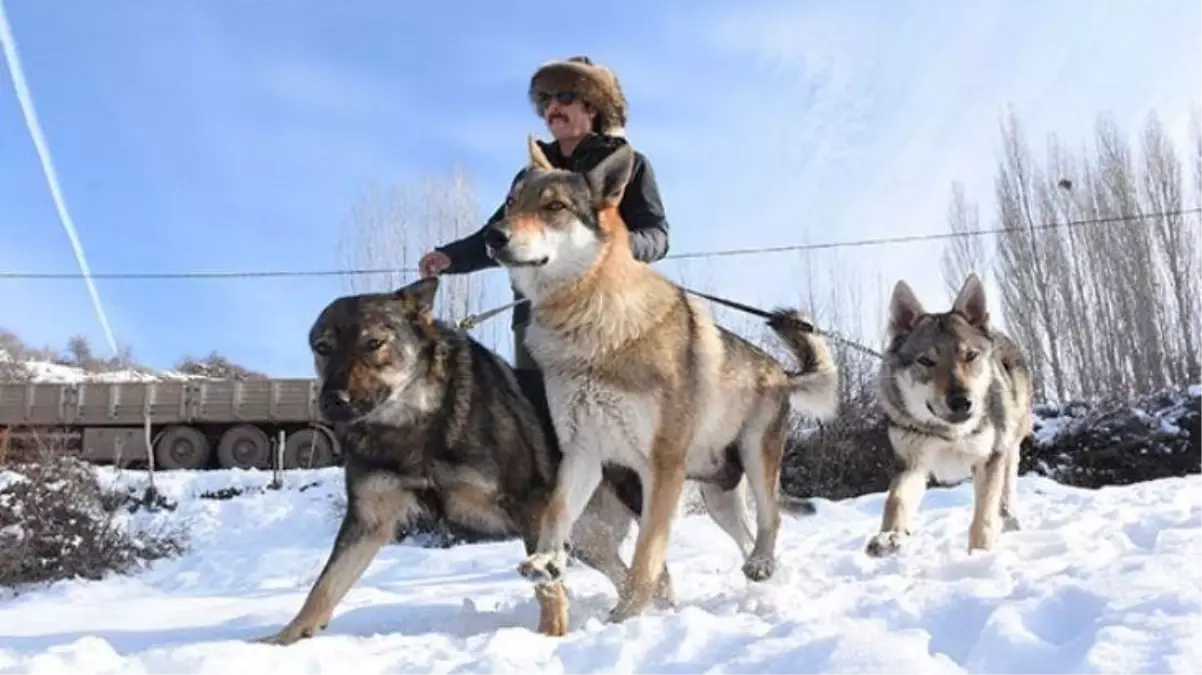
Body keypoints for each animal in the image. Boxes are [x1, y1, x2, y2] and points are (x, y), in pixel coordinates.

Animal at [258, 275, 663, 638]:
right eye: (323, 348)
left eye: (374, 344)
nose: (333, 401)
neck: (415, 423)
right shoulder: (368, 521)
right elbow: (325, 586)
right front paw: (282, 640)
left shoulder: (529, 505)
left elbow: (546, 587)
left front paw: (550, 636)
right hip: (586, 538)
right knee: (641, 576)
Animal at [483, 133, 841, 624]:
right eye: (510, 203)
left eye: (554, 206)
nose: (492, 236)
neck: (592, 328)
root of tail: (781, 373)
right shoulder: (582, 452)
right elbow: (557, 512)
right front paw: (547, 561)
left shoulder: (662, 468)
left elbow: (646, 558)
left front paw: (625, 619)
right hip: (717, 499)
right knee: (747, 535)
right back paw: (759, 575)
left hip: (755, 458)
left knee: (772, 519)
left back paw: (763, 566)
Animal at [865, 270, 1033, 554]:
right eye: (926, 361)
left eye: (970, 356)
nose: (962, 402)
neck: (949, 433)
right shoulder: (912, 465)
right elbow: (895, 501)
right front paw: (889, 536)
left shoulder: (989, 459)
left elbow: (983, 517)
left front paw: (979, 554)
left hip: (1009, 442)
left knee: (1008, 481)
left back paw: (1009, 517)